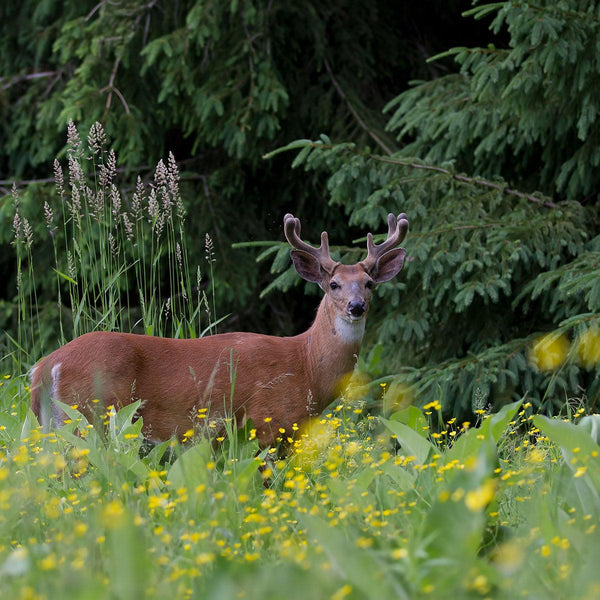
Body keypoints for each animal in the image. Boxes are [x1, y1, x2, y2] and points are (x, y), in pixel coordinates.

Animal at [31, 213, 408, 448]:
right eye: (333, 284)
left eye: (369, 283)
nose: (356, 307)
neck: (306, 365)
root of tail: (45, 365)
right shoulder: (267, 423)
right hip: (90, 415)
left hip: (54, 424)